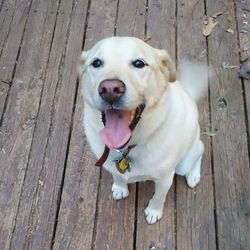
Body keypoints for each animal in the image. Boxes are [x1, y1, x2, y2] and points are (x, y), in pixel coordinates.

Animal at [78, 36, 207, 225]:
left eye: (139, 63)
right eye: (96, 63)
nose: (110, 89)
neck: (128, 148)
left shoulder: (165, 179)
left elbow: (159, 198)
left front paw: (154, 212)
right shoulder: (113, 167)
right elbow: (118, 176)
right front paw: (120, 187)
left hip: (184, 163)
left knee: (200, 150)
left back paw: (193, 176)